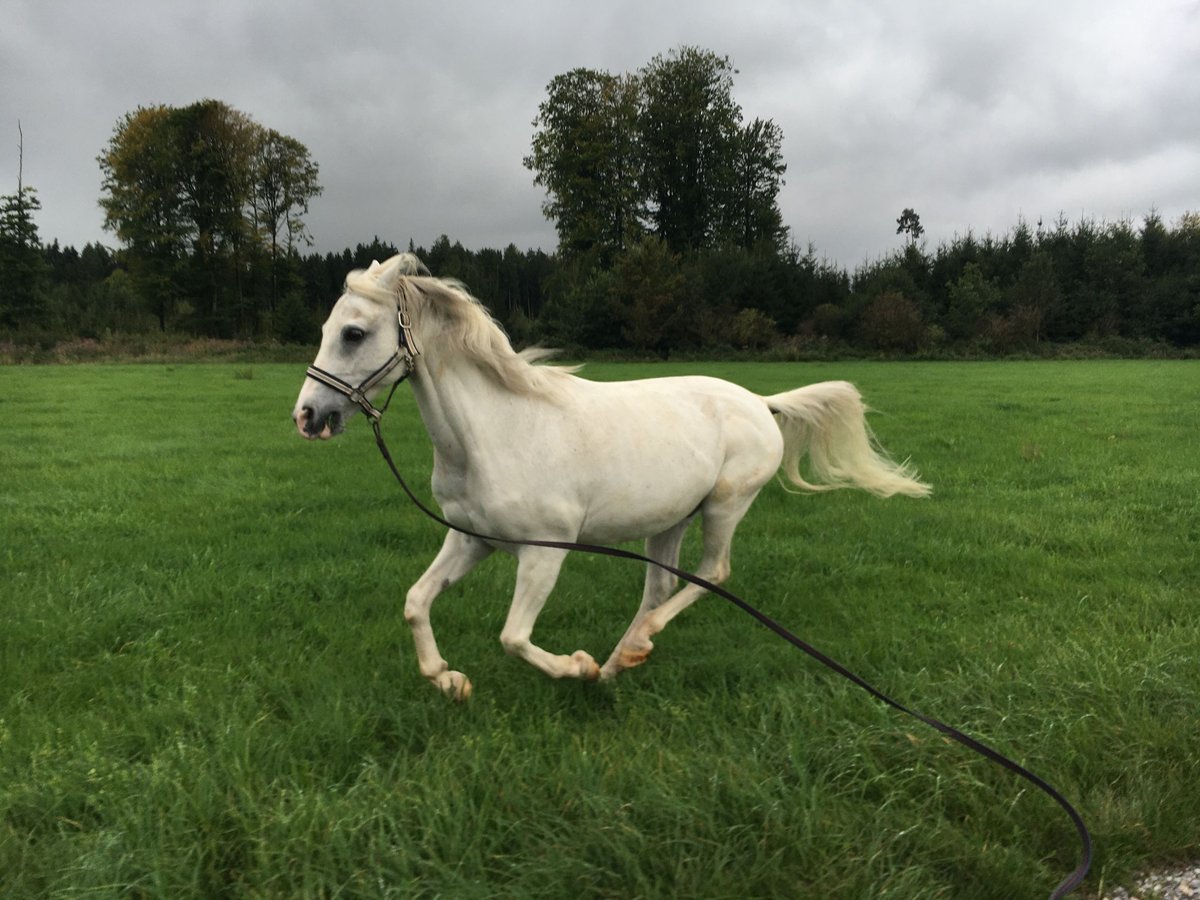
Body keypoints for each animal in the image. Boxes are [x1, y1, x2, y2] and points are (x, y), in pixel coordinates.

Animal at [293, 253, 930, 700]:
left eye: (353, 333)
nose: (307, 417)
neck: (494, 434)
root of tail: (759, 401)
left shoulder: (544, 552)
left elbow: (513, 637)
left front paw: (574, 667)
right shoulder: (472, 539)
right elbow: (415, 602)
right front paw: (449, 680)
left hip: (725, 505)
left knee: (712, 573)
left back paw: (623, 655)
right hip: (669, 520)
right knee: (662, 585)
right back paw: (621, 660)